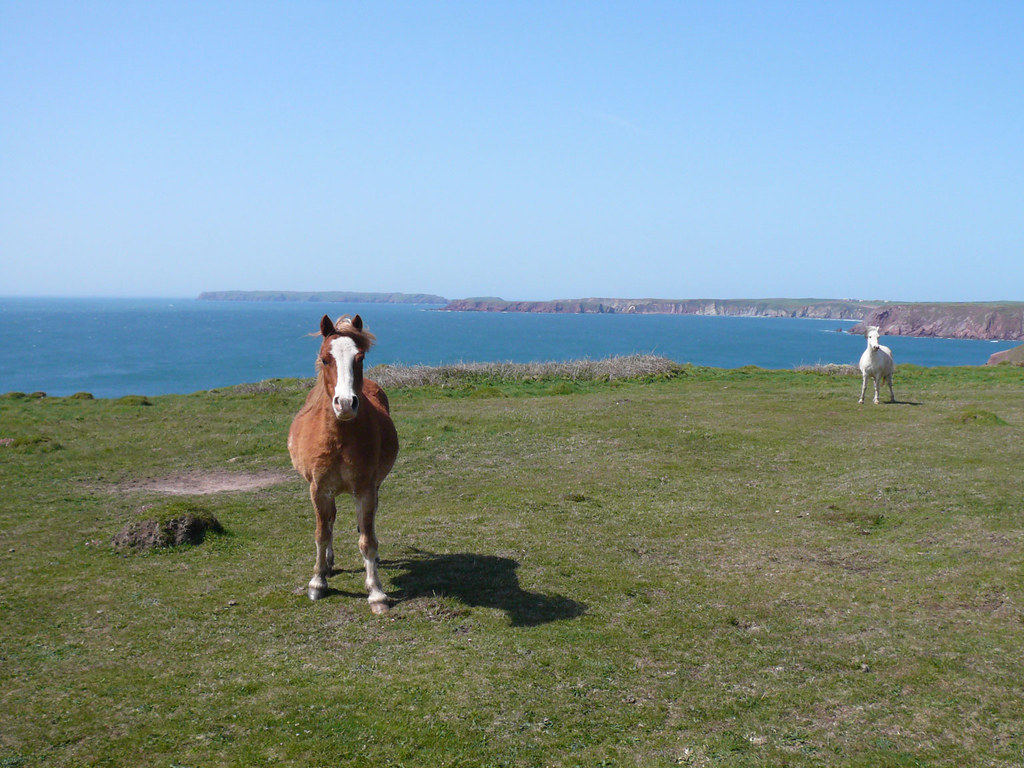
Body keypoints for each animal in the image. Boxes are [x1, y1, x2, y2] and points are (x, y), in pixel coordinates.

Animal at [287, 314, 399, 613]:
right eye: (326, 359)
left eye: (359, 358)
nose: (346, 404)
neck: (339, 437)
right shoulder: (318, 490)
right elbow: (321, 533)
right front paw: (317, 582)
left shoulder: (365, 489)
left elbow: (367, 539)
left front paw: (376, 593)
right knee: (330, 521)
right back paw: (327, 564)